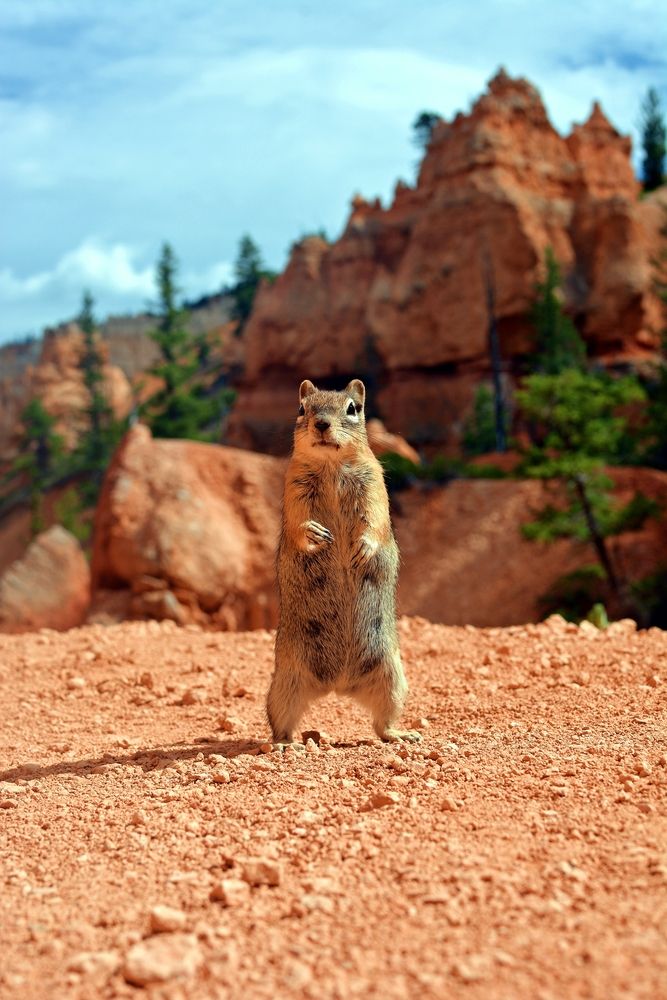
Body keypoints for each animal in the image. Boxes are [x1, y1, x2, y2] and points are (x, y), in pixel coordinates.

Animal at [266, 378, 421, 745]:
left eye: (353, 408)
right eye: (302, 408)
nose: (322, 424)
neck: (331, 466)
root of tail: (338, 684)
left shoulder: (374, 485)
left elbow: (376, 519)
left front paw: (362, 548)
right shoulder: (293, 487)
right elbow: (297, 522)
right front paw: (315, 535)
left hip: (392, 679)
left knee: (381, 725)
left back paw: (401, 735)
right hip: (284, 684)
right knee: (281, 721)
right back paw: (282, 744)